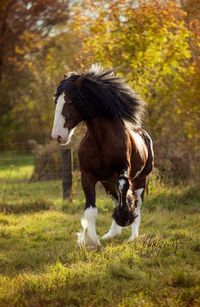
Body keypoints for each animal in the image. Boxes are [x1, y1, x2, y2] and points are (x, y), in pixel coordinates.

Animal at [51, 63, 153, 249]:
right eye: (56, 101)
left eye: (70, 101)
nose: (58, 136)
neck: (102, 141)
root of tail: (144, 134)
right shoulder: (88, 176)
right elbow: (91, 210)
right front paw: (92, 240)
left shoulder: (122, 175)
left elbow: (126, 202)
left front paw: (124, 219)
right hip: (108, 183)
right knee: (118, 200)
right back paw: (110, 235)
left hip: (141, 179)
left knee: (137, 204)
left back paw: (132, 237)